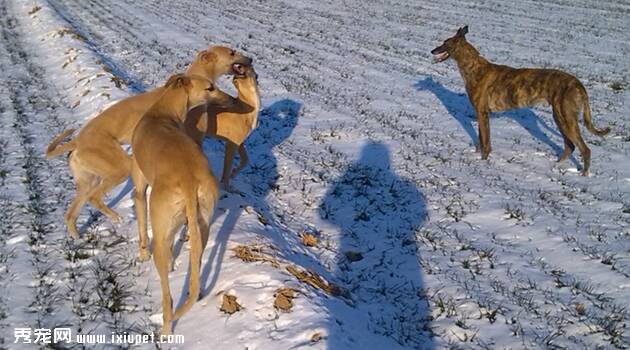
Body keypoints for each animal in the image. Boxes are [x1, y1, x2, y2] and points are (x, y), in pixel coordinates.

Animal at [45, 46, 252, 238]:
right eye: (232, 52)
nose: (250, 59)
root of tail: (77, 141)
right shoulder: (192, 142)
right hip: (118, 167)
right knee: (94, 197)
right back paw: (114, 217)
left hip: (88, 180)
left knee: (71, 213)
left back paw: (75, 235)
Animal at [130, 73, 226, 334]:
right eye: (210, 87)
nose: (229, 99)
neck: (161, 113)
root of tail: (189, 179)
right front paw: (174, 262)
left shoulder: (140, 189)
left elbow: (141, 227)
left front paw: (142, 254)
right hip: (203, 226)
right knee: (196, 267)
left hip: (159, 228)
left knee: (168, 298)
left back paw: (165, 330)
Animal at [432, 26, 608, 176]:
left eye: (445, 43)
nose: (432, 50)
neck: (474, 67)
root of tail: (578, 83)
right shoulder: (481, 114)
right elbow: (481, 140)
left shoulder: (482, 113)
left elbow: (485, 142)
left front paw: (483, 162)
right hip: (560, 117)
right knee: (570, 146)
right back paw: (555, 166)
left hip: (567, 119)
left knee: (584, 149)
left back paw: (583, 175)